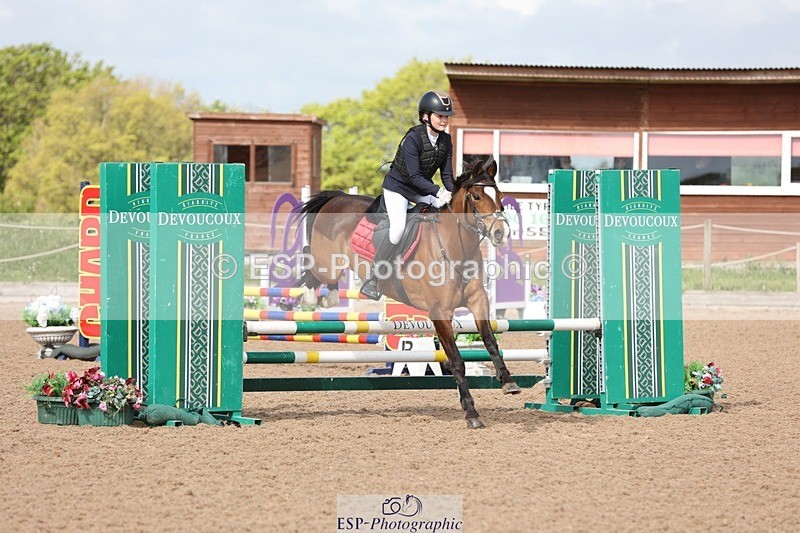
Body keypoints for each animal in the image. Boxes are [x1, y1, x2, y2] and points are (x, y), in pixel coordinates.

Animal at [296, 157, 519, 428]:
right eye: (476, 196)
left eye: (499, 195)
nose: (501, 233)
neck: (456, 247)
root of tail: (337, 197)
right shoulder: (440, 312)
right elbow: (457, 361)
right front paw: (471, 413)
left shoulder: (478, 301)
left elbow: (491, 342)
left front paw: (508, 382)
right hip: (326, 264)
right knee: (310, 263)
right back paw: (311, 297)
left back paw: (328, 296)